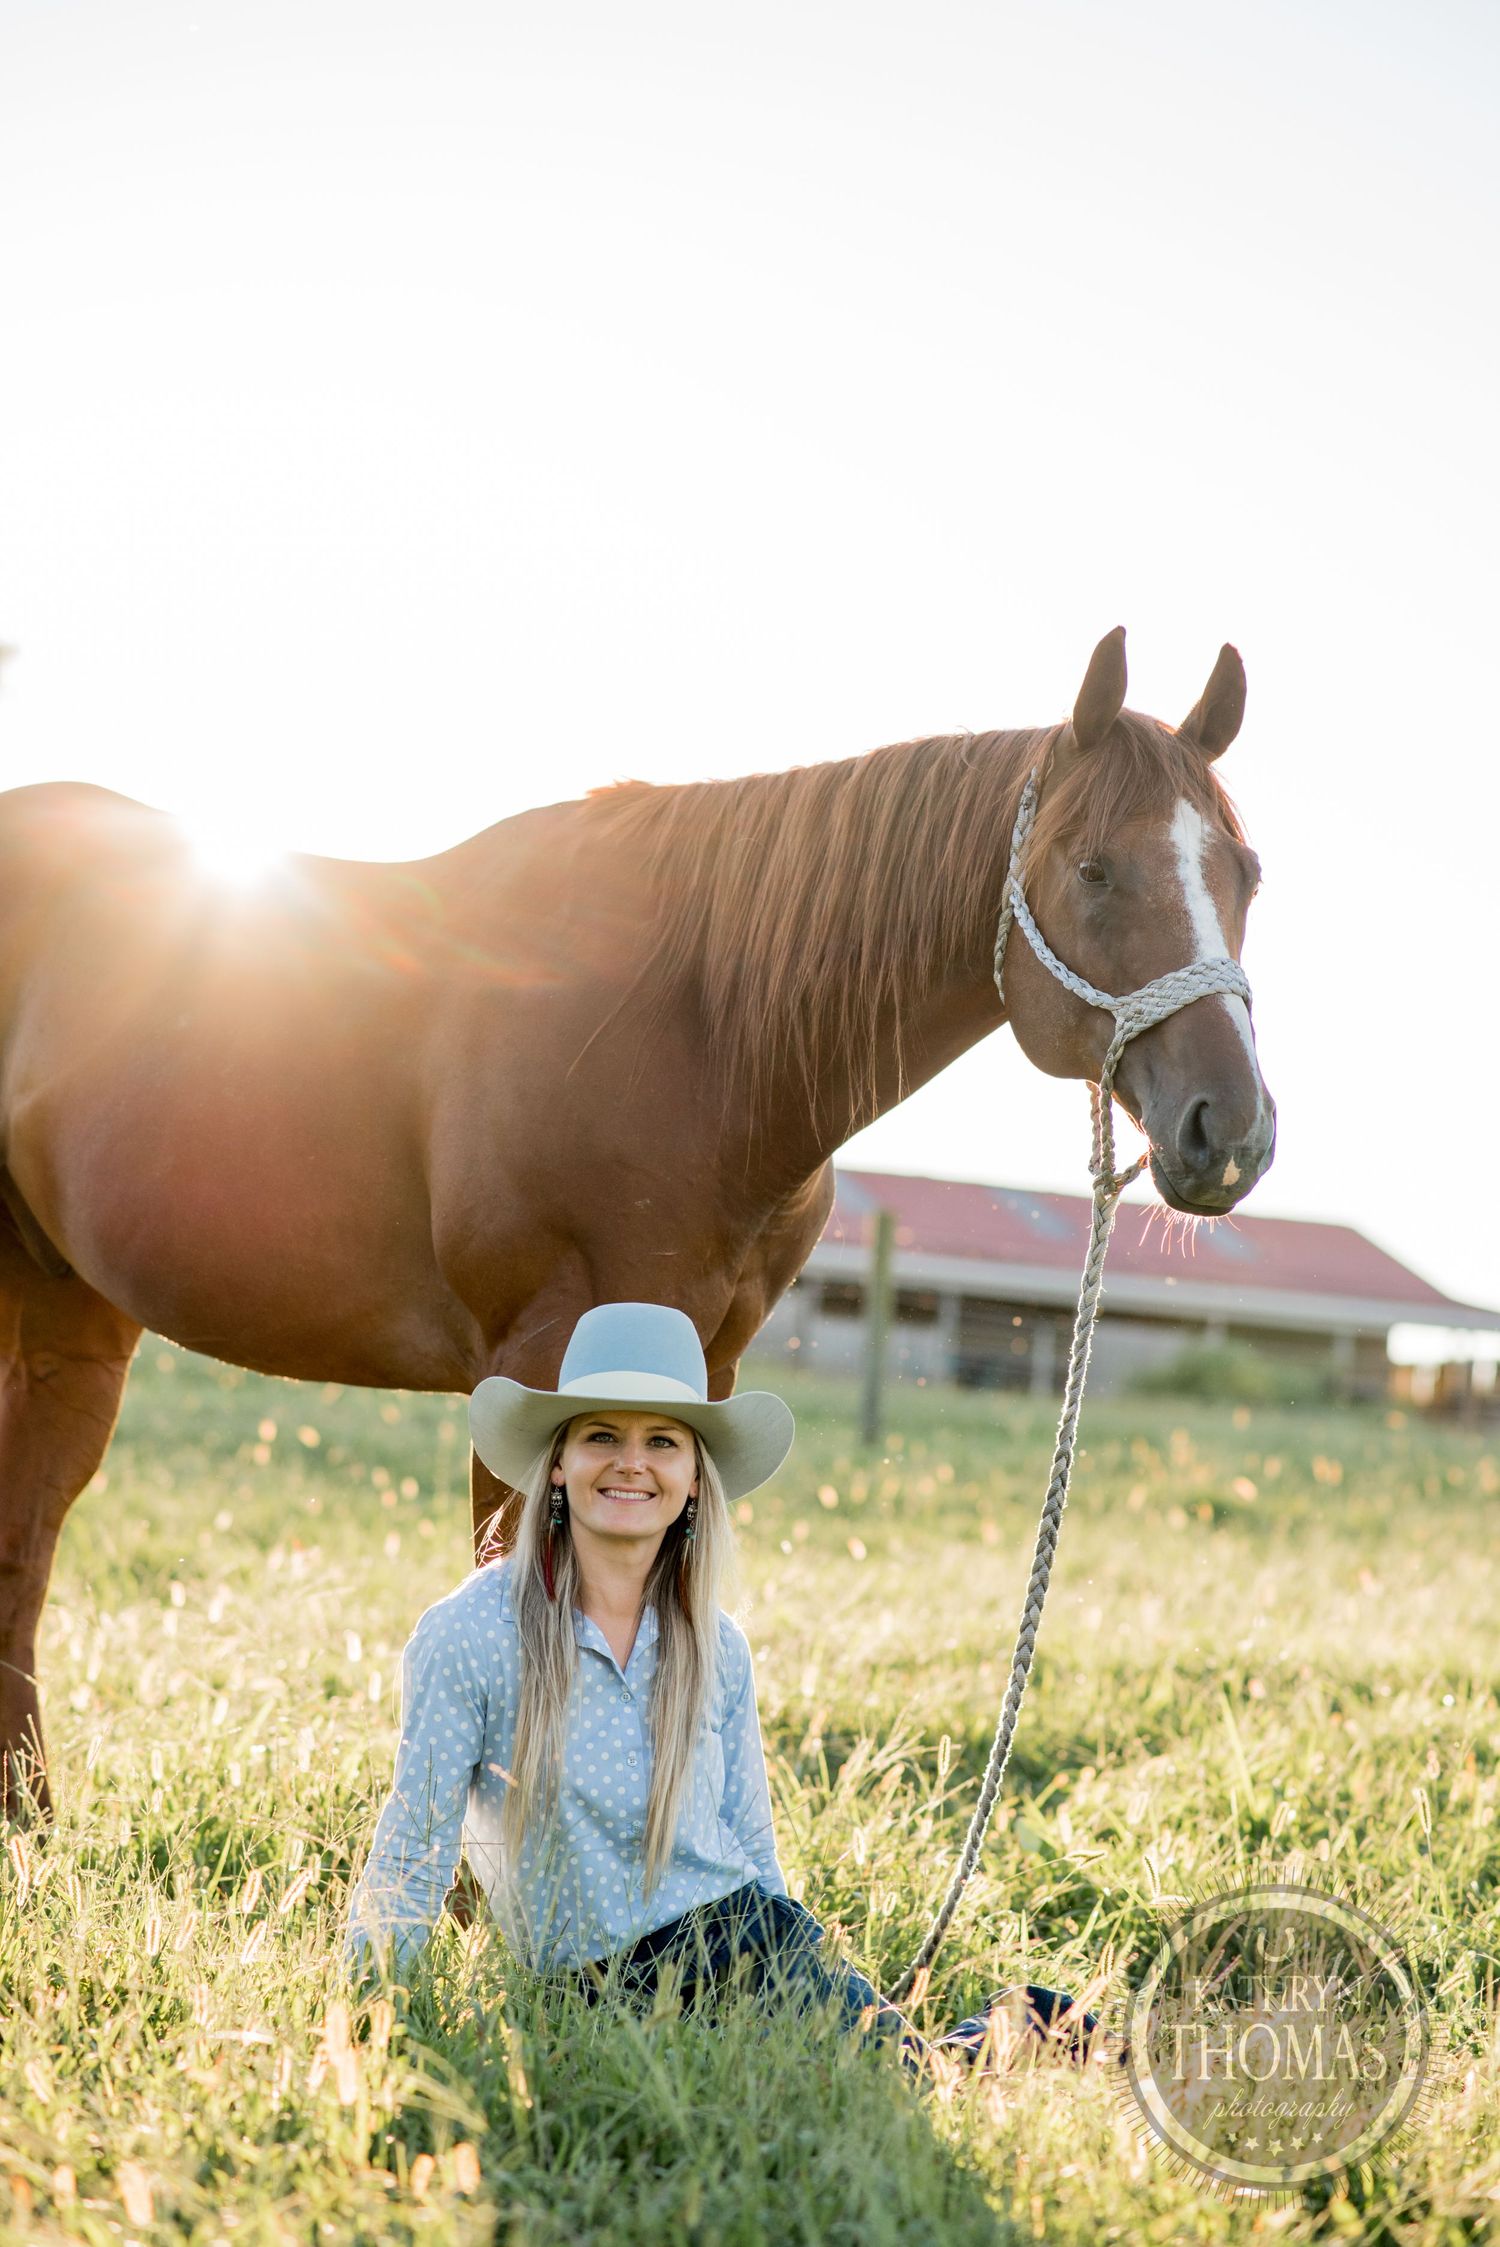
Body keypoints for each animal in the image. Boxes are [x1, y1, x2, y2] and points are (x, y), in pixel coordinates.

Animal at [0, 626, 1273, 1822]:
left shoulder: (705, 1365)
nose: (1232, 1131)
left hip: (73, 1318)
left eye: (1248, 874)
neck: (697, 1027)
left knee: (30, 1529)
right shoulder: (531, 1363)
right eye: (1094, 869)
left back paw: (32, 1815)